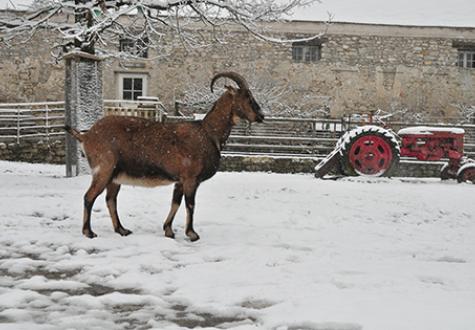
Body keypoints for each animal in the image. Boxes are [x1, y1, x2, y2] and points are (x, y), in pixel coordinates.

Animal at [64, 72, 264, 241]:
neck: (207, 133)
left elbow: (175, 203)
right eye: (247, 97)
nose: (261, 115)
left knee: (110, 200)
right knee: (89, 197)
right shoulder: (190, 179)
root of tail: (86, 135)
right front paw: (192, 234)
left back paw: (121, 229)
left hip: (115, 177)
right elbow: (190, 204)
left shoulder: (180, 181)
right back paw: (89, 232)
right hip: (103, 170)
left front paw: (168, 230)